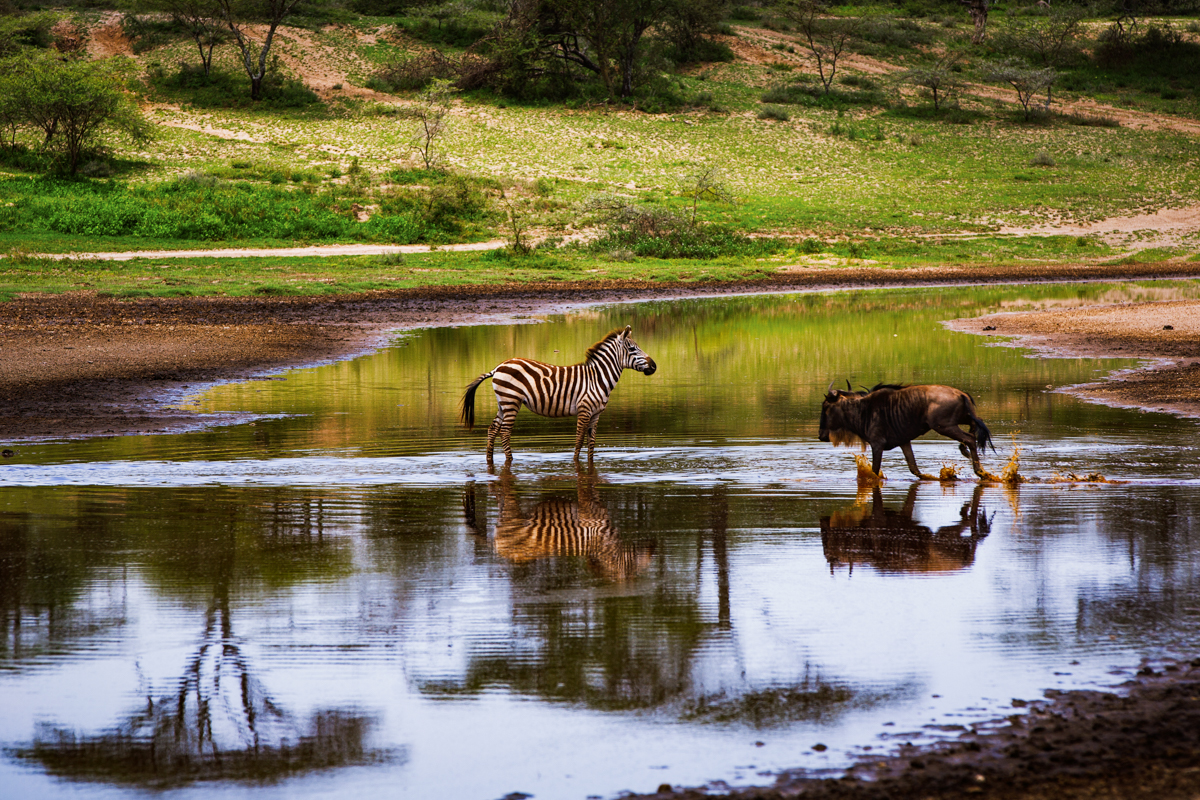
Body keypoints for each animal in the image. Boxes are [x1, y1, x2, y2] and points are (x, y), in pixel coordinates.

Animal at [458, 326, 657, 462]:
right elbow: (579, 440)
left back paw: (489, 460)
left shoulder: (596, 414)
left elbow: (591, 443)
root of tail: (498, 367)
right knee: (505, 432)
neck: (598, 378)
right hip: (511, 401)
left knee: (492, 429)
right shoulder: (584, 410)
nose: (654, 366)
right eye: (632, 349)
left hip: (503, 403)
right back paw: (510, 459)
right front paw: (575, 462)